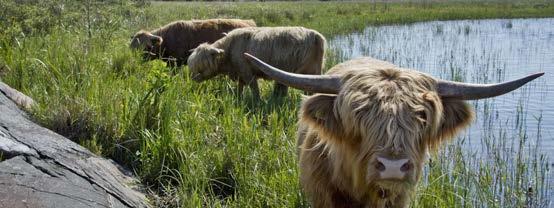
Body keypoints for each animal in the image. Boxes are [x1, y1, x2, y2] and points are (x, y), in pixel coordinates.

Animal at [187, 26, 324, 99]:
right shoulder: (240, 73)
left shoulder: (247, 72)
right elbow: (240, 87)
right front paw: (239, 97)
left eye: (202, 64)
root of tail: (316, 35)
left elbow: (254, 89)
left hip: (309, 72)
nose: (193, 77)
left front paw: (257, 101)